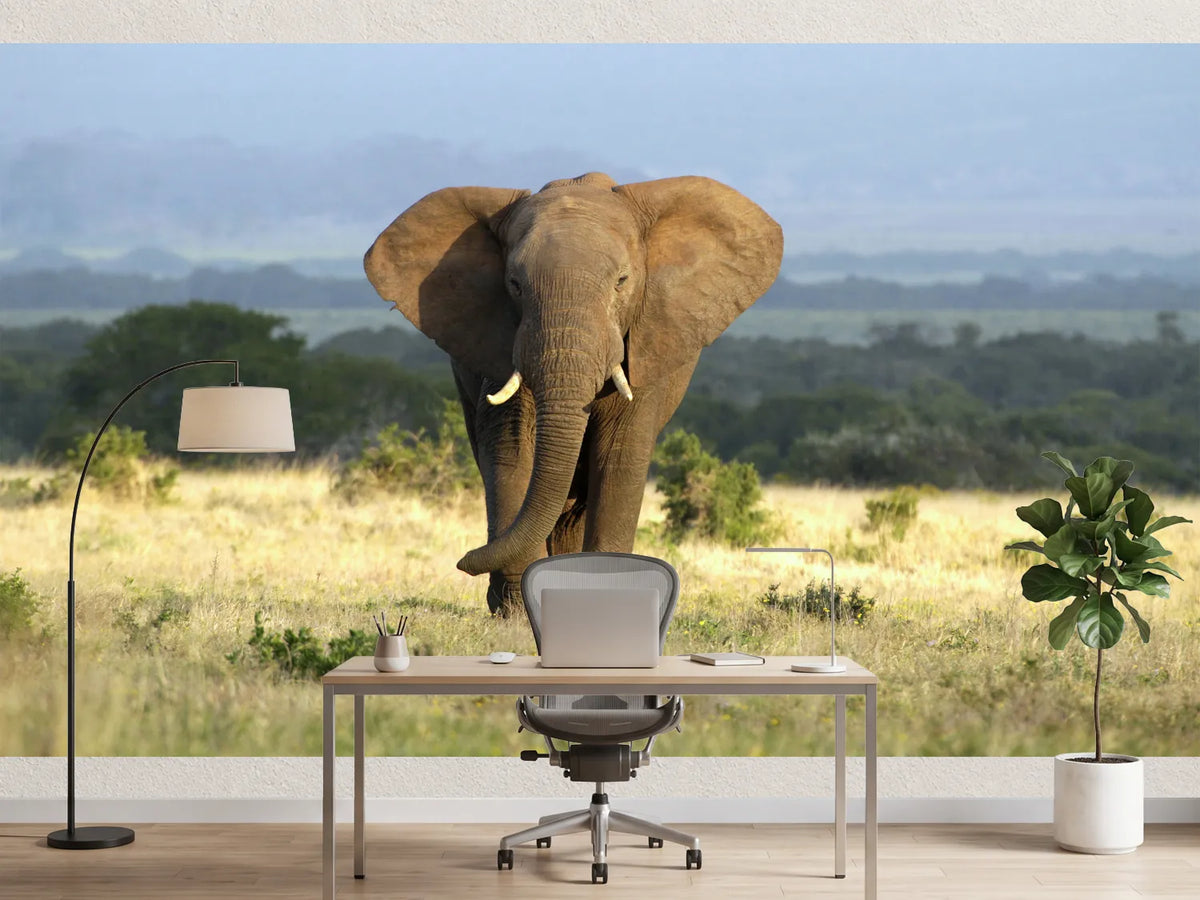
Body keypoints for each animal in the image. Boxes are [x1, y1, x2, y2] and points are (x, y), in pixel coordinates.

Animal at [364, 172, 782, 613]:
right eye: (514, 284)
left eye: (621, 282)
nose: (464, 560)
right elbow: (511, 447)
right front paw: (516, 611)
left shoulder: (646, 340)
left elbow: (620, 454)